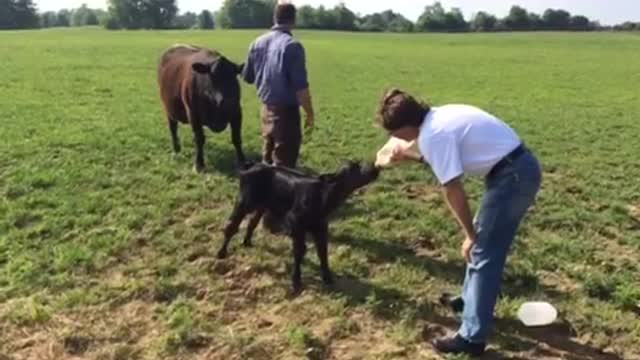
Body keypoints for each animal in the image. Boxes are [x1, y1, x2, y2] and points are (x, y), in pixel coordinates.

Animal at [159, 44, 246, 172]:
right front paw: (199, 164)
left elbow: (236, 138)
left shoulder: (237, 112)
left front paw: (242, 162)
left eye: (234, 77)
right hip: (169, 110)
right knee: (173, 128)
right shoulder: (193, 114)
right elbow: (200, 139)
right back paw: (176, 149)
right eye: (212, 76)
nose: (227, 101)